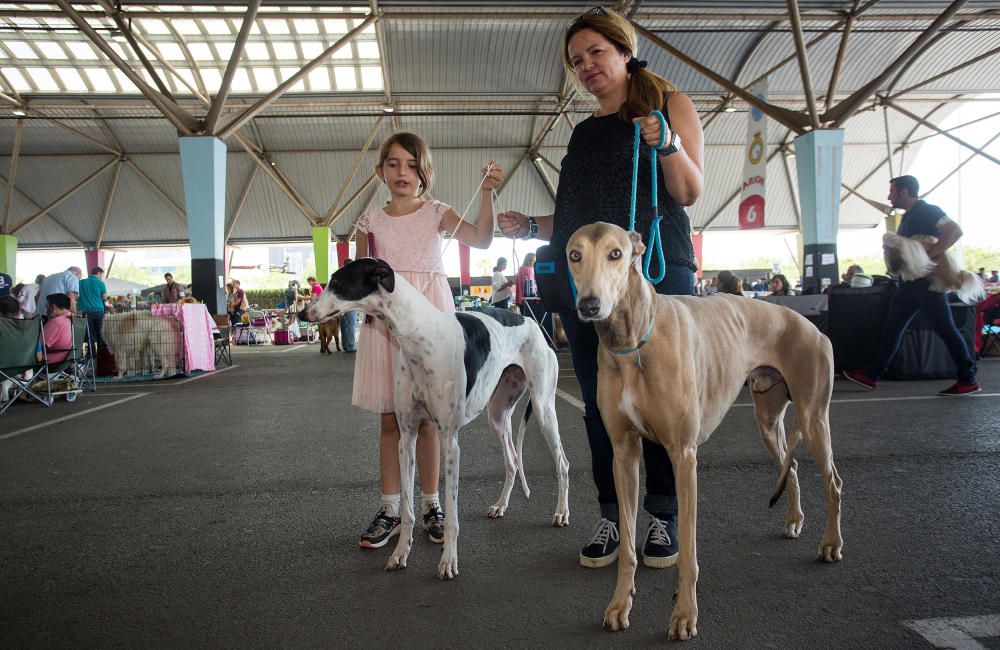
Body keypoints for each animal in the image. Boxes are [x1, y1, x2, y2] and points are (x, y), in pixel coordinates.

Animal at [298, 258, 572, 576]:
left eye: (338, 284)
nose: (302, 313)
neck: (418, 335)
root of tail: (531, 323)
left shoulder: (449, 441)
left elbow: (452, 514)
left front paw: (449, 561)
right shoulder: (406, 438)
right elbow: (406, 508)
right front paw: (400, 553)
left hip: (543, 408)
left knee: (562, 463)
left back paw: (561, 512)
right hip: (497, 414)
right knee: (513, 461)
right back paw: (500, 506)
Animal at [568, 223, 840, 636]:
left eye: (616, 254)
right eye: (575, 255)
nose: (589, 305)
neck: (633, 343)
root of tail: (808, 324)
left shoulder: (683, 456)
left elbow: (688, 554)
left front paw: (684, 615)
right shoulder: (623, 455)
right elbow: (628, 547)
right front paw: (619, 605)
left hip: (813, 419)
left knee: (833, 481)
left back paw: (830, 544)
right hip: (768, 419)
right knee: (790, 465)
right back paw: (793, 520)